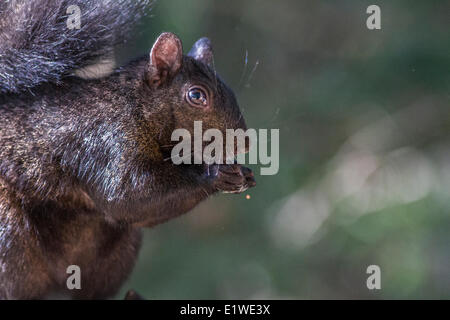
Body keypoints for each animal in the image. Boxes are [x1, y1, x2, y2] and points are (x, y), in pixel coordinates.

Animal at [0, 0, 253, 300]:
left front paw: (243, 174)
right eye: (196, 95)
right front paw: (215, 175)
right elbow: (127, 196)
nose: (245, 143)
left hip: (113, 256)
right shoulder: (105, 141)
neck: (134, 106)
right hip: (10, 238)